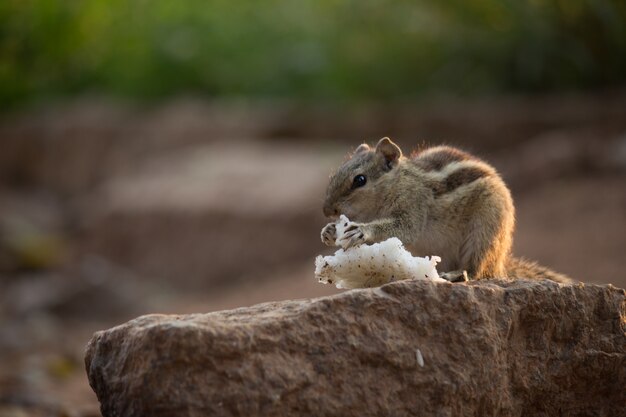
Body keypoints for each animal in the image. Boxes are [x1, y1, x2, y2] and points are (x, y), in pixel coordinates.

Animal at [322, 136, 572, 282]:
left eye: (360, 180)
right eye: (334, 175)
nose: (327, 211)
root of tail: (500, 263)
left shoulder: (414, 205)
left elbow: (404, 229)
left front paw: (362, 231)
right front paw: (329, 231)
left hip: (486, 232)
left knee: (477, 270)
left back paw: (456, 274)